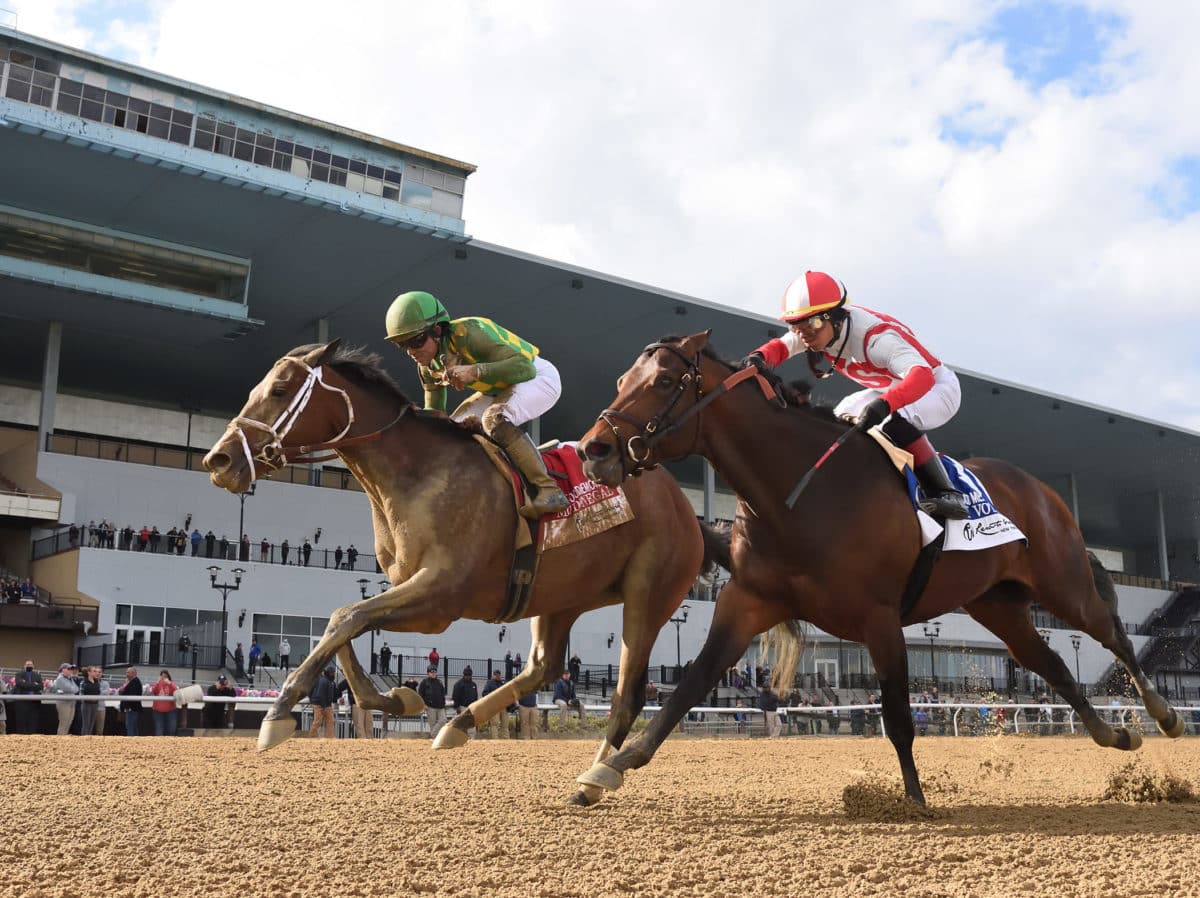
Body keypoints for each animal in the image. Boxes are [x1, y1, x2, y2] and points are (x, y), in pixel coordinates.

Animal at [202, 340, 724, 801]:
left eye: (280, 390)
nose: (218, 459)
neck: (417, 475)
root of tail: (688, 510)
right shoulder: (413, 592)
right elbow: (343, 624)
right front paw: (397, 699)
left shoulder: (440, 597)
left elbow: (346, 618)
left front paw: (278, 714)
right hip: (562, 597)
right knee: (543, 666)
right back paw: (458, 723)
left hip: (648, 591)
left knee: (627, 693)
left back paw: (596, 776)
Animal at [576, 331, 1185, 806]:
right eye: (621, 380)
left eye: (661, 382)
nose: (593, 450)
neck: (802, 492)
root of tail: (1041, 489)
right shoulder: (747, 601)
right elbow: (689, 686)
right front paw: (607, 769)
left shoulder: (879, 616)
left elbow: (896, 713)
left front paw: (914, 800)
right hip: (999, 605)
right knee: (1052, 663)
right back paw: (1114, 736)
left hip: (1062, 585)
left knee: (1112, 634)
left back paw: (1164, 716)